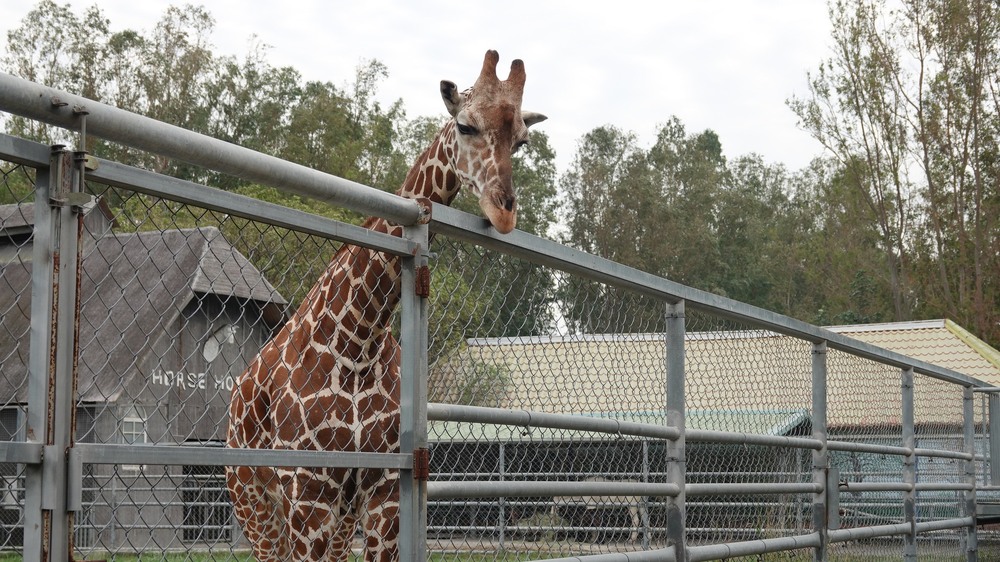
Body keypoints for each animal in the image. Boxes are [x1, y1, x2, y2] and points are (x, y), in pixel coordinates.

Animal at [227, 50, 548, 556]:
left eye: (521, 141)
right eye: (465, 125)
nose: (504, 212)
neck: (358, 341)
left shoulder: (381, 492)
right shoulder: (307, 490)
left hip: (337, 518)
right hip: (253, 504)